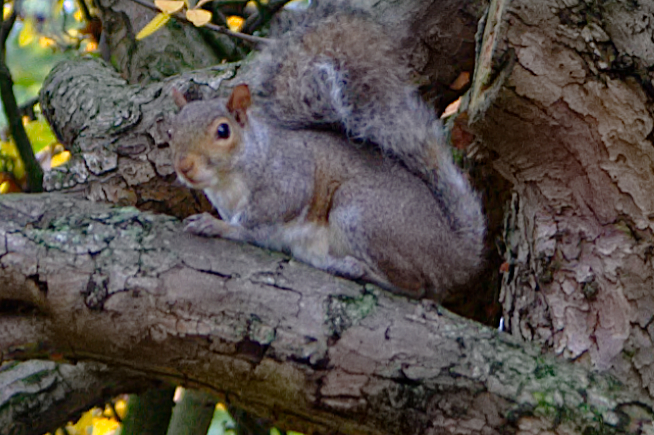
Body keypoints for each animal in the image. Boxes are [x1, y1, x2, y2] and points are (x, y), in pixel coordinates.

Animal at [169, 5, 486, 304]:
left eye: (223, 131)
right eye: (171, 132)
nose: (184, 166)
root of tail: (454, 254)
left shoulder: (287, 179)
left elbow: (256, 220)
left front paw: (217, 225)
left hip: (360, 215)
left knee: (415, 286)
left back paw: (357, 269)